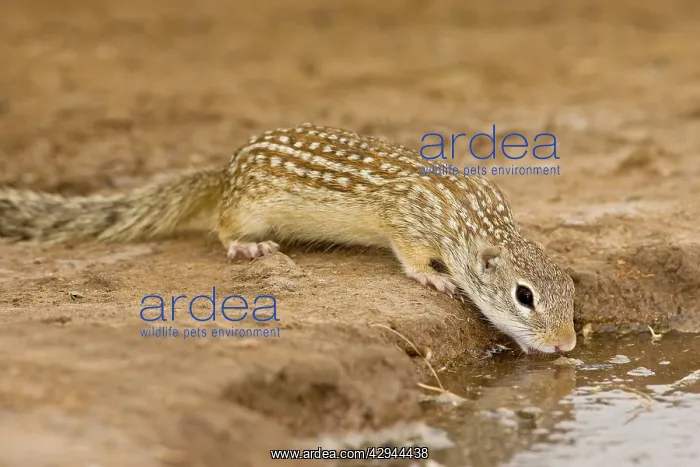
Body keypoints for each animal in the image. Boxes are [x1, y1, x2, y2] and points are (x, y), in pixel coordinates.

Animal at [0, 123, 576, 354]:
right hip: (248, 208)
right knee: (221, 229)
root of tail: (224, 174)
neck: (471, 218)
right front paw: (434, 279)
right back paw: (245, 246)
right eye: (524, 296)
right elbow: (411, 257)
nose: (567, 344)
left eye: (572, 293)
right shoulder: (406, 223)